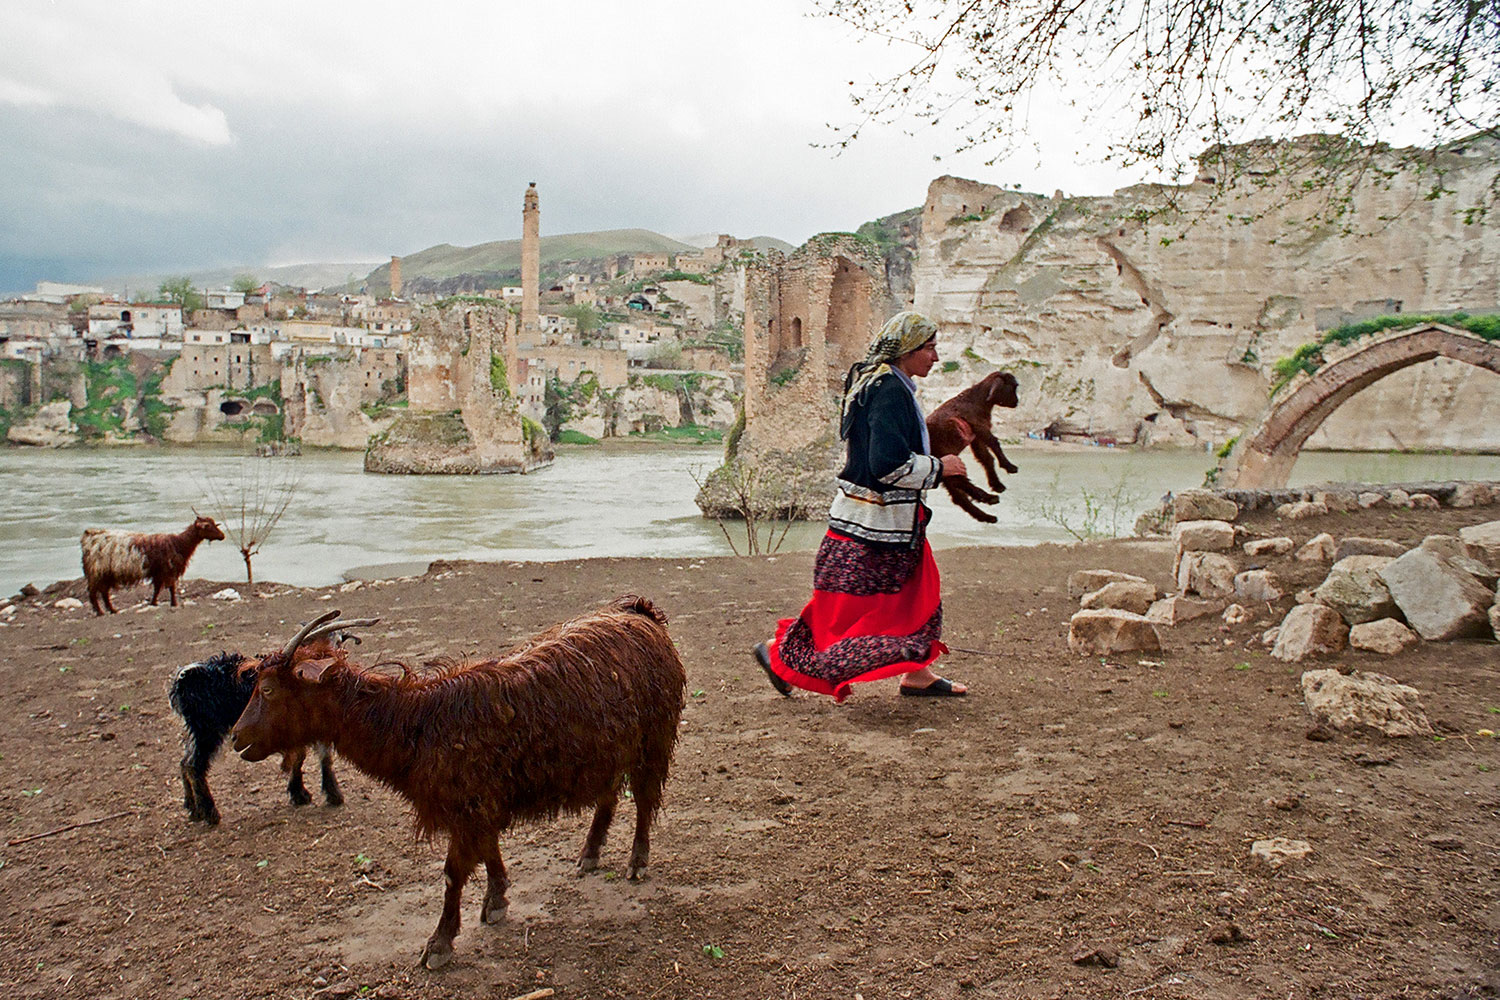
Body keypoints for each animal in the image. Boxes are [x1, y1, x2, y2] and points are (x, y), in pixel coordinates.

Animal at [171, 653, 343, 827]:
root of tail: (184, 676)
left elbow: (310, 757)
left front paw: (306, 793)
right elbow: (305, 756)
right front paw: (325, 794)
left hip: (196, 732)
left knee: (185, 762)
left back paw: (193, 808)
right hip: (207, 731)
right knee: (194, 765)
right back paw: (209, 812)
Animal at [231, 593, 687, 971]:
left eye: (268, 690)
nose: (236, 738)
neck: (416, 723)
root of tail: (642, 613)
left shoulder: (468, 803)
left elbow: (454, 872)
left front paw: (439, 945)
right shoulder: (478, 804)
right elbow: (488, 851)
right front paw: (497, 899)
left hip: (654, 737)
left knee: (644, 799)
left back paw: (637, 862)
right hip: (609, 748)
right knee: (609, 795)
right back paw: (589, 854)